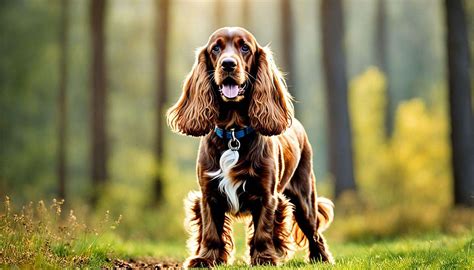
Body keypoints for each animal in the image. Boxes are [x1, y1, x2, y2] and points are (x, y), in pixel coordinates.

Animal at [167, 26, 334, 266]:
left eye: (245, 47)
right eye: (215, 48)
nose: (228, 64)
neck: (233, 132)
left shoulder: (266, 194)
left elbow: (263, 230)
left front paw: (264, 258)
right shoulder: (208, 193)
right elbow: (210, 230)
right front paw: (206, 258)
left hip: (304, 196)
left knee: (313, 230)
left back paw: (319, 257)